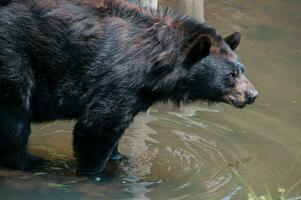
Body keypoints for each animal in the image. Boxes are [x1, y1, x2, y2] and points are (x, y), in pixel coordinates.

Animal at [0, 0, 258, 175]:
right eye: (230, 75)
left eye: (242, 69)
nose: (252, 95)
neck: (157, 64)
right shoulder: (120, 80)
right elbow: (96, 127)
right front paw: (96, 172)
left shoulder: (138, 93)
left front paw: (120, 157)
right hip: (14, 62)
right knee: (15, 119)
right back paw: (31, 163)